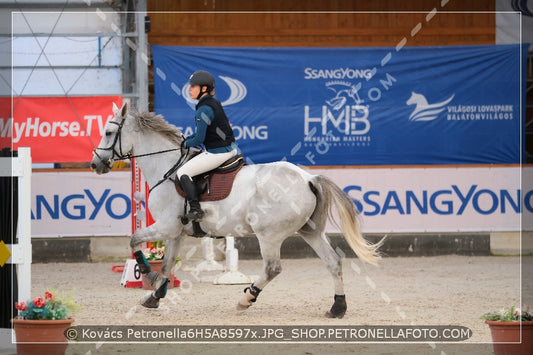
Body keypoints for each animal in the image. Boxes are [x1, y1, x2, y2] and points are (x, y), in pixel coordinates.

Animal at [90, 101, 382, 318]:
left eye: (108, 133)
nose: (95, 164)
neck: (167, 167)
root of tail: (308, 178)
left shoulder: (165, 227)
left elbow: (134, 241)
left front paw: (147, 275)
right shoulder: (175, 233)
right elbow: (167, 265)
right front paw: (154, 296)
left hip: (269, 234)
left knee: (273, 268)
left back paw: (246, 299)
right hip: (310, 231)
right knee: (333, 262)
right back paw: (337, 307)